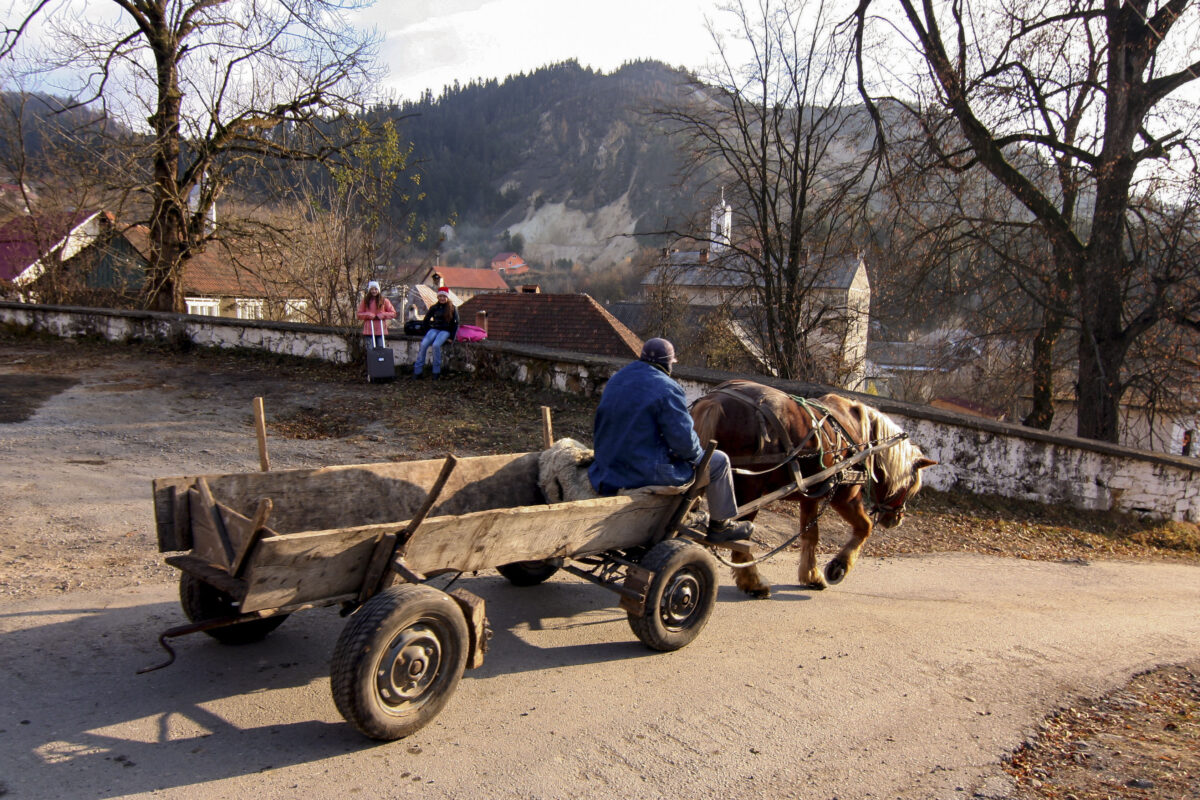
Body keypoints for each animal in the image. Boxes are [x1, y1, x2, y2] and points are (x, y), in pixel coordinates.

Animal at [691, 381, 931, 594]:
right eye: (911, 486)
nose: (897, 518)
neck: (860, 435)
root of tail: (714, 401)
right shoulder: (845, 497)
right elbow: (865, 526)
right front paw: (838, 567)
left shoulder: (810, 497)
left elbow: (810, 535)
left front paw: (811, 575)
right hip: (750, 490)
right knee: (739, 538)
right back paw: (753, 583)